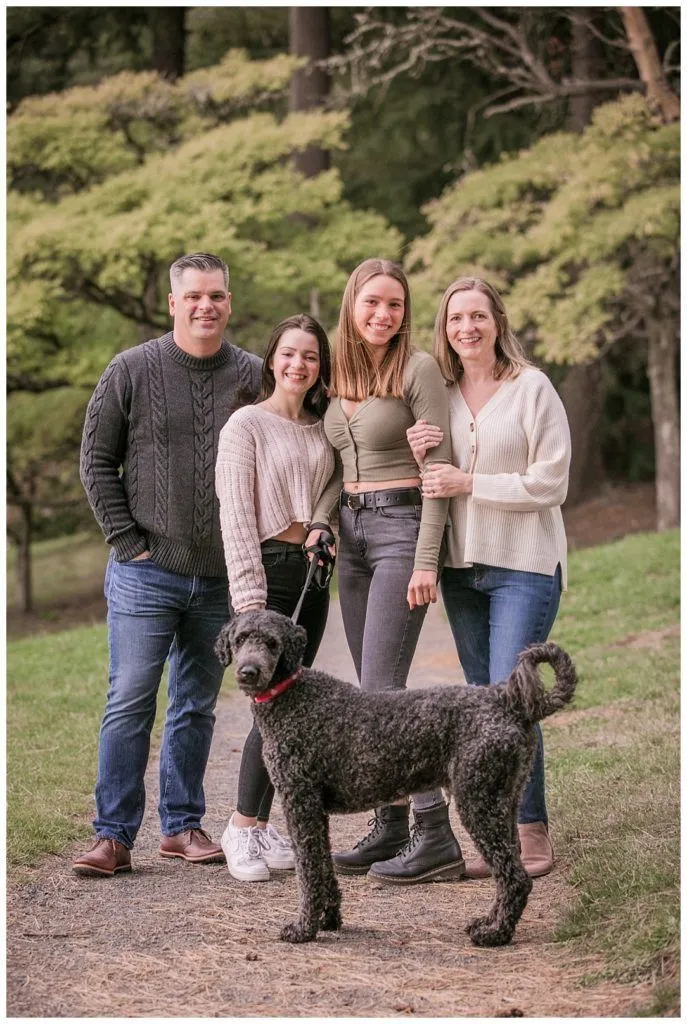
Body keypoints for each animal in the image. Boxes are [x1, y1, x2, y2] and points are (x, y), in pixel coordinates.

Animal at [215, 609, 577, 947]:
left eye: (271, 643)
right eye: (241, 639)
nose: (248, 672)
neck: (294, 697)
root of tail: (507, 701)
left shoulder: (300, 804)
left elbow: (308, 871)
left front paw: (304, 927)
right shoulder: (315, 812)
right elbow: (323, 868)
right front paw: (329, 918)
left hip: (480, 803)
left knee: (514, 877)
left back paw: (496, 934)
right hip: (503, 802)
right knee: (509, 872)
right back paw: (489, 923)